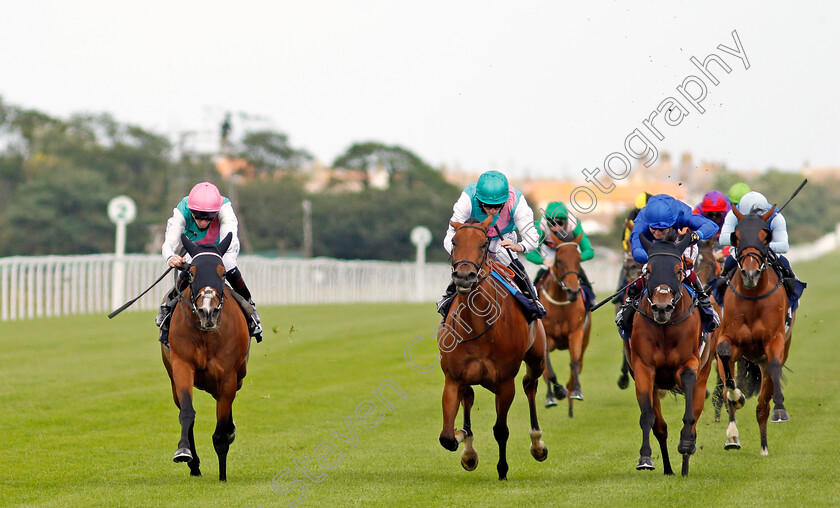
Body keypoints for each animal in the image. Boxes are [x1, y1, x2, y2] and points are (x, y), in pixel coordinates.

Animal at [161, 233, 251, 480]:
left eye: (223, 273)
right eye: (190, 273)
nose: (207, 311)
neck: (206, 335)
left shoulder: (229, 376)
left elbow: (221, 429)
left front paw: (222, 475)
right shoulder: (182, 366)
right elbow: (187, 413)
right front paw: (184, 452)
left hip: (237, 376)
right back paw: (194, 464)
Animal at [440, 214, 552, 480]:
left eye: (483, 244)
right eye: (454, 241)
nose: (464, 277)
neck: (477, 326)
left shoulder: (504, 382)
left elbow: (501, 430)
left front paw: (502, 469)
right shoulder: (453, 378)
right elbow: (447, 437)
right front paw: (464, 442)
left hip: (536, 359)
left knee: (530, 385)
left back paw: (537, 444)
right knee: (469, 397)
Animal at [540, 229, 592, 416]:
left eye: (578, 259)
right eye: (559, 260)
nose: (573, 291)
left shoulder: (576, 333)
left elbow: (574, 363)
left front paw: (576, 391)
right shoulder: (547, 338)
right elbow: (548, 369)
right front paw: (556, 392)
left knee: (578, 364)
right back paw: (552, 396)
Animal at [632, 234, 716, 476]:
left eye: (679, 270)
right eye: (648, 271)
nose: (662, 307)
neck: (665, 329)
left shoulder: (690, 363)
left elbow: (689, 412)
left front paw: (686, 443)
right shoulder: (643, 368)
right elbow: (648, 417)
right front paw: (645, 457)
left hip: (704, 375)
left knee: (695, 414)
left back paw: (686, 463)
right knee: (660, 427)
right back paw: (669, 469)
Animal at [716, 207, 796, 456]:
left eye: (765, 237)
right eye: (737, 236)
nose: (750, 274)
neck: (752, 298)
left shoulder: (774, 341)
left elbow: (775, 365)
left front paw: (780, 410)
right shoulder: (728, 338)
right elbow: (724, 354)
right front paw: (737, 396)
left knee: (762, 405)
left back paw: (764, 445)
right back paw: (732, 436)